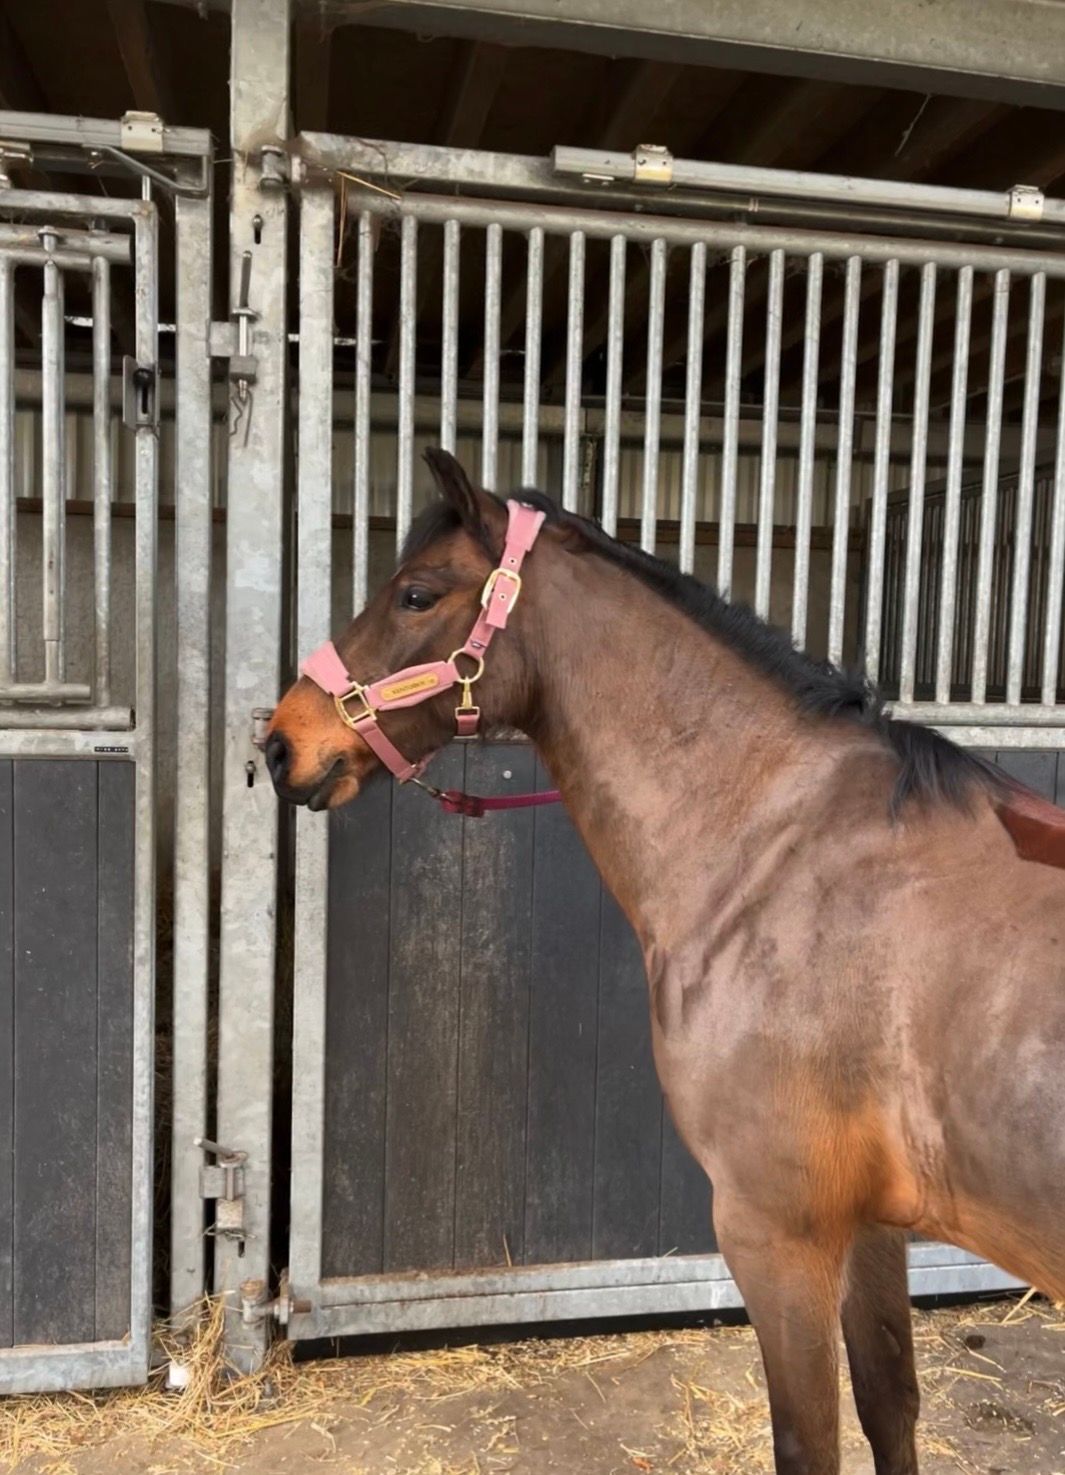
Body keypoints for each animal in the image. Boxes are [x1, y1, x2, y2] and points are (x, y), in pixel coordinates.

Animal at [266, 448, 1065, 1475]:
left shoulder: (777, 1231)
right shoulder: (871, 1222)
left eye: (414, 593)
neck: (783, 851)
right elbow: (889, 1398)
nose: (281, 742)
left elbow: (809, 1437)